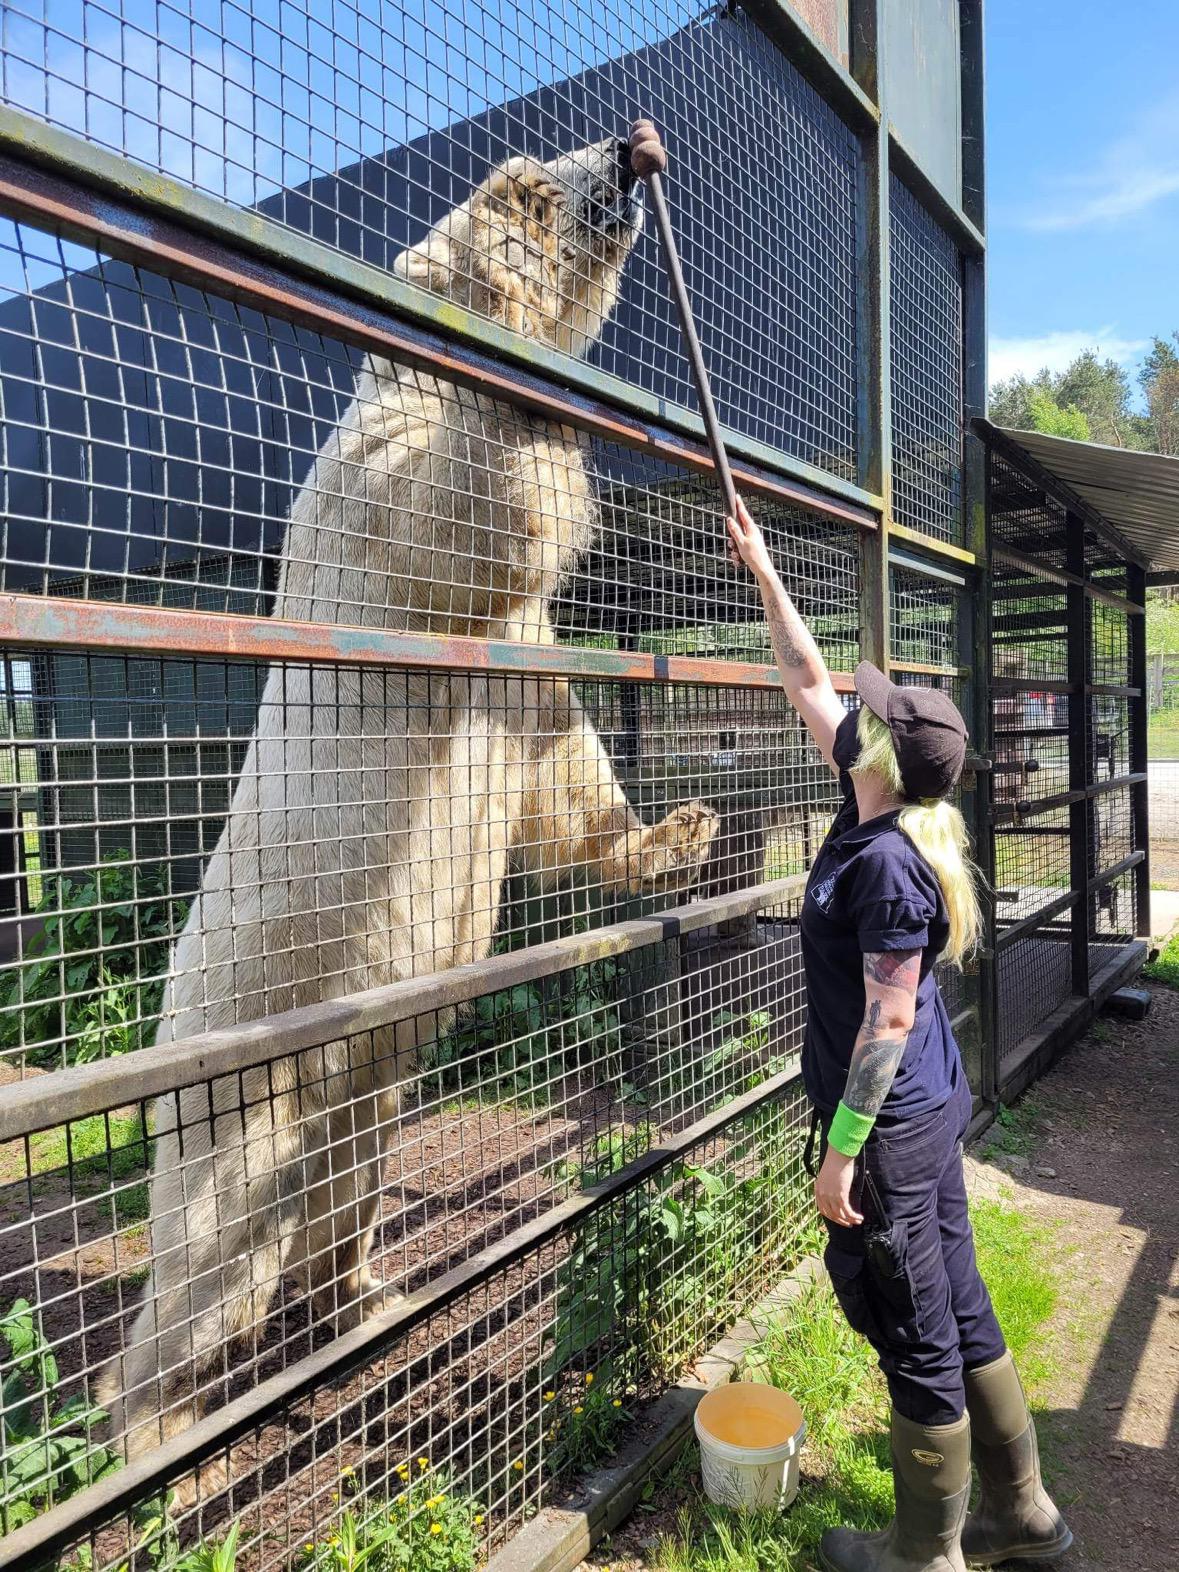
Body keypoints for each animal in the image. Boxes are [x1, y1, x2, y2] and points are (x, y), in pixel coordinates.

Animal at [99, 136, 719, 1494]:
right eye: (530, 186)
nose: (634, 150)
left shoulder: (521, 660)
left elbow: (555, 758)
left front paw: (678, 833)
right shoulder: (379, 502)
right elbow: (454, 528)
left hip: (365, 1062)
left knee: (344, 1175)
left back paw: (360, 1295)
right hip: (250, 1037)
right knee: (210, 1234)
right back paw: (159, 1428)